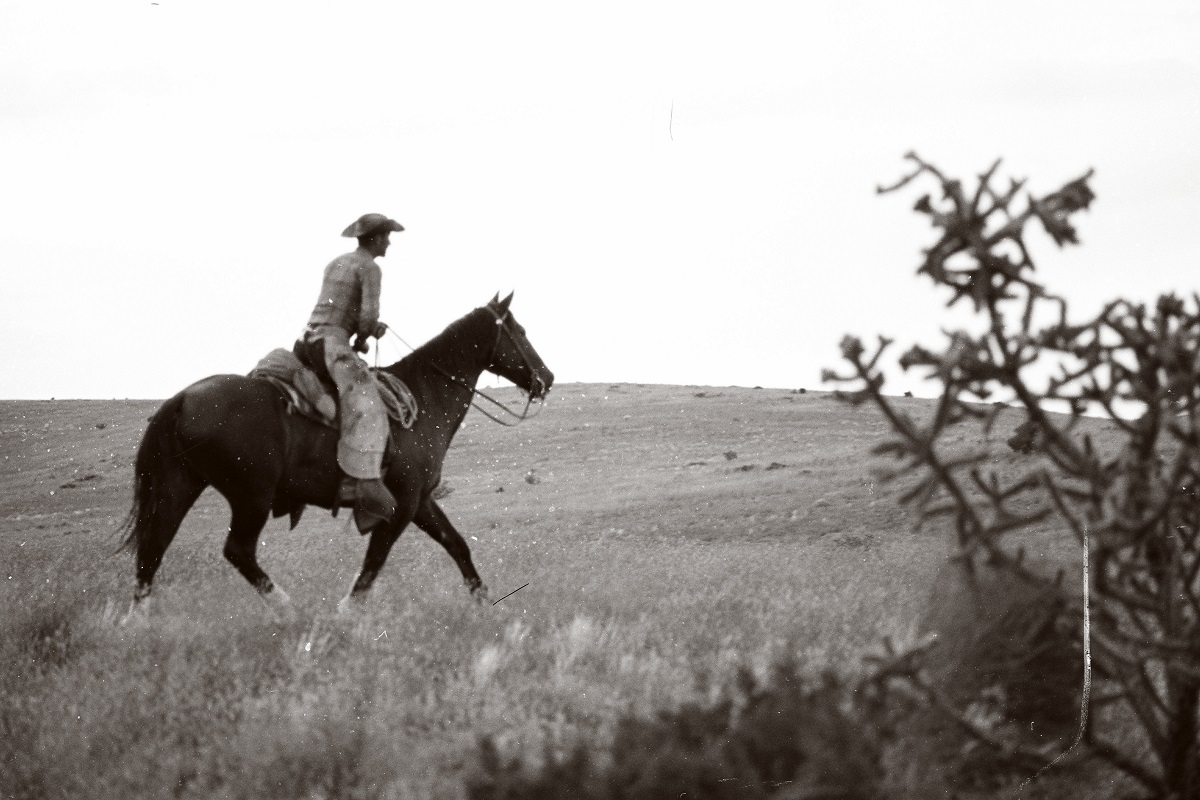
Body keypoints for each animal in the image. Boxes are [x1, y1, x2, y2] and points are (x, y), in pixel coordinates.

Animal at [119, 293, 549, 618]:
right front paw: (346, 612)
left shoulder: (422, 501)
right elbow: (374, 562)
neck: (424, 396)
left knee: (153, 547)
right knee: (235, 550)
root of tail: (180, 399)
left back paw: (137, 621)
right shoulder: (401, 504)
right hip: (251, 497)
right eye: (520, 332)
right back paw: (288, 607)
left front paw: (486, 603)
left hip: (179, 485)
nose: (547, 377)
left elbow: (457, 544)